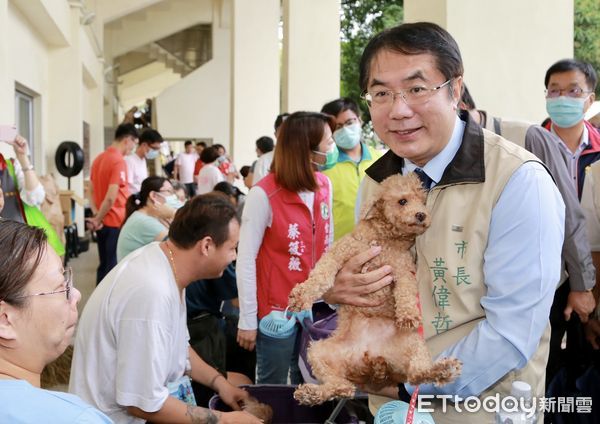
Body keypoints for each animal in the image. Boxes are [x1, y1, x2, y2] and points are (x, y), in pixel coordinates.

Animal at [288, 174, 462, 406]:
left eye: (422, 201)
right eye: (403, 201)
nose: (422, 215)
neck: (384, 238)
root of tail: (370, 361)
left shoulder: (402, 269)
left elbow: (406, 291)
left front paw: (408, 314)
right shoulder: (339, 252)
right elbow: (321, 276)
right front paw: (301, 296)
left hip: (414, 344)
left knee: (416, 374)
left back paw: (441, 370)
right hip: (317, 351)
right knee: (342, 387)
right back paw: (311, 393)